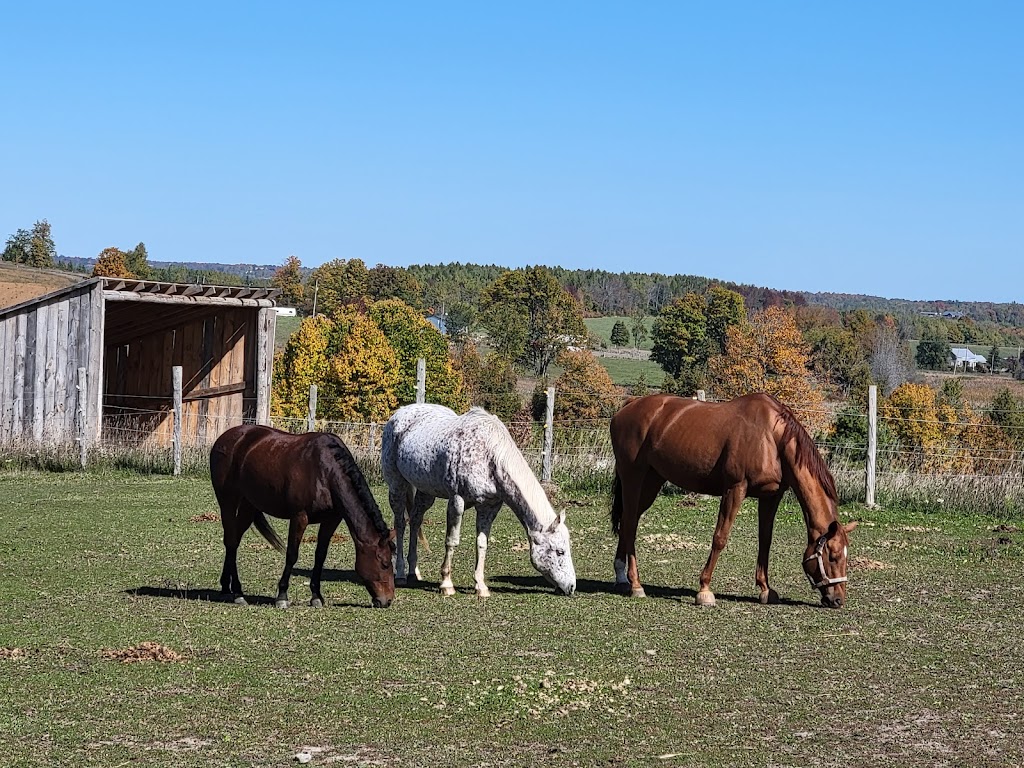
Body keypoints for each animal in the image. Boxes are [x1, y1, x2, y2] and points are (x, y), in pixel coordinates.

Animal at [208, 423, 395, 610]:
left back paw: (228, 587)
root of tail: (226, 437)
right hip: (228, 501)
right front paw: (282, 596)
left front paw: (316, 596)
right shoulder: (299, 517)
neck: (326, 472)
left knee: (235, 540)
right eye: (385, 563)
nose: (387, 600)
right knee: (231, 541)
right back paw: (237, 592)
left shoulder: (331, 520)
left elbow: (320, 556)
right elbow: (292, 554)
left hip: (249, 505)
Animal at [382, 405, 577, 598]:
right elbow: (452, 540)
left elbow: (482, 544)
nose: (571, 587)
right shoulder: (457, 501)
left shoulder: (488, 507)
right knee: (400, 524)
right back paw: (401, 574)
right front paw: (446, 584)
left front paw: (481, 587)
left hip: (426, 492)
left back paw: (414, 572)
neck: (489, 456)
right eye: (560, 551)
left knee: (415, 521)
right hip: (397, 486)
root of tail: (400, 413)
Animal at [606, 393, 856, 610]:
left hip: (652, 481)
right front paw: (704, 590)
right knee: (630, 523)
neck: (771, 437)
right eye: (833, 556)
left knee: (628, 522)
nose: (838, 600)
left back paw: (622, 578)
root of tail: (629, 405)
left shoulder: (770, 496)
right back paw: (636, 585)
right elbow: (720, 538)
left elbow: (765, 541)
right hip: (633, 477)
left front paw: (765, 589)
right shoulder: (735, 489)